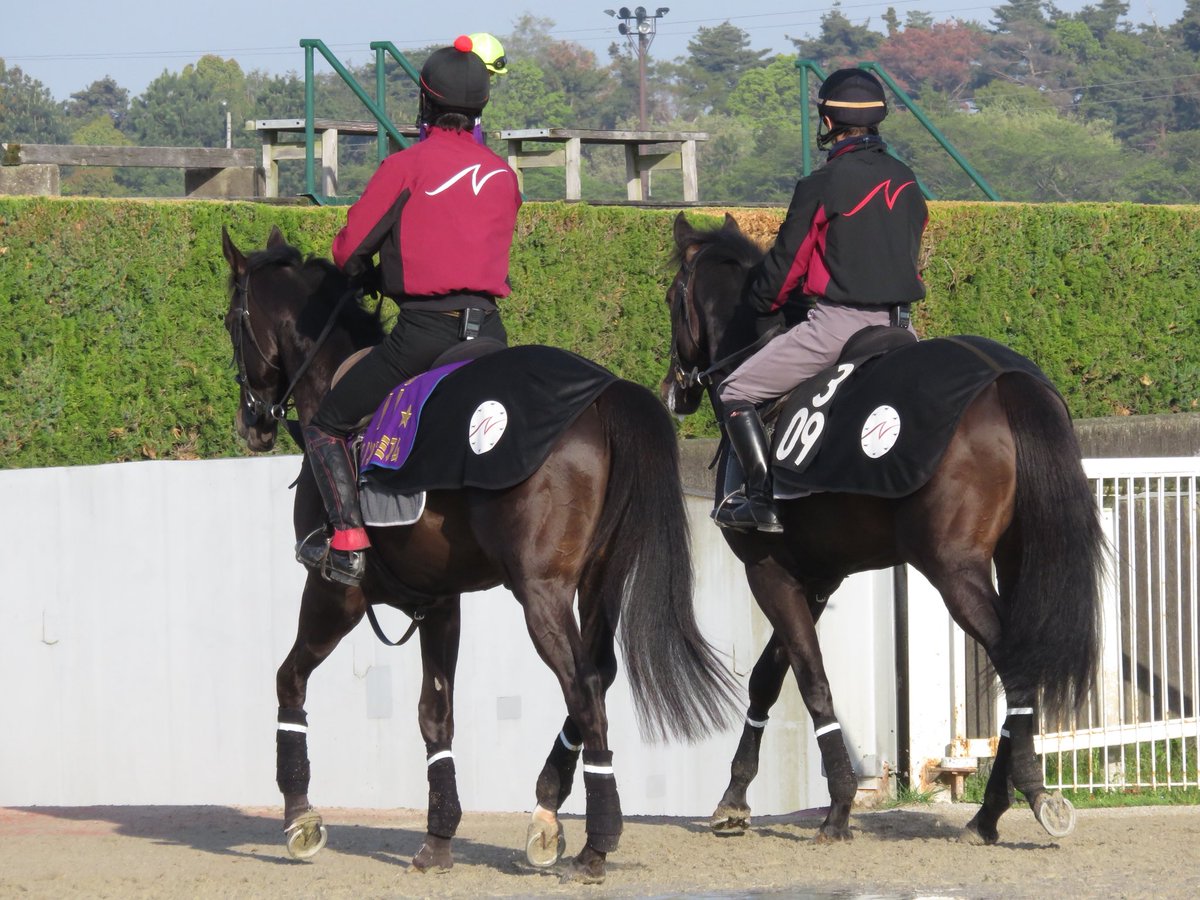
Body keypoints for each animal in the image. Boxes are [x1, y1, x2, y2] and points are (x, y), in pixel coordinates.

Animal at [220, 225, 736, 884]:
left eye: (231, 321)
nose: (251, 424)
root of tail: (601, 393)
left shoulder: (336, 591)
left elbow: (289, 681)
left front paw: (300, 819)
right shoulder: (441, 602)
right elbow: (435, 715)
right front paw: (439, 836)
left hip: (539, 594)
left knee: (583, 688)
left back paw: (597, 840)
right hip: (598, 585)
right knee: (598, 676)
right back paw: (547, 815)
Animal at [661, 212, 1104, 846]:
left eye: (673, 297)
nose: (675, 389)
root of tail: (1003, 378)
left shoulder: (767, 570)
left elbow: (809, 679)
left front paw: (838, 807)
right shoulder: (815, 577)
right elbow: (769, 678)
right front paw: (734, 800)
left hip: (954, 570)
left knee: (1017, 661)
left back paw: (1023, 796)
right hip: (1015, 559)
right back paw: (989, 813)